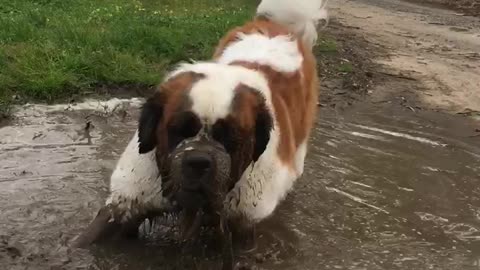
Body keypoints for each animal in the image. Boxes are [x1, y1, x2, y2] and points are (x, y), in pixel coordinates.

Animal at [75, 0, 328, 258]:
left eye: (230, 137)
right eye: (178, 130)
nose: (198, 161)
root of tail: (275, 26)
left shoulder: (243, 224)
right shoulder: (129, 199)